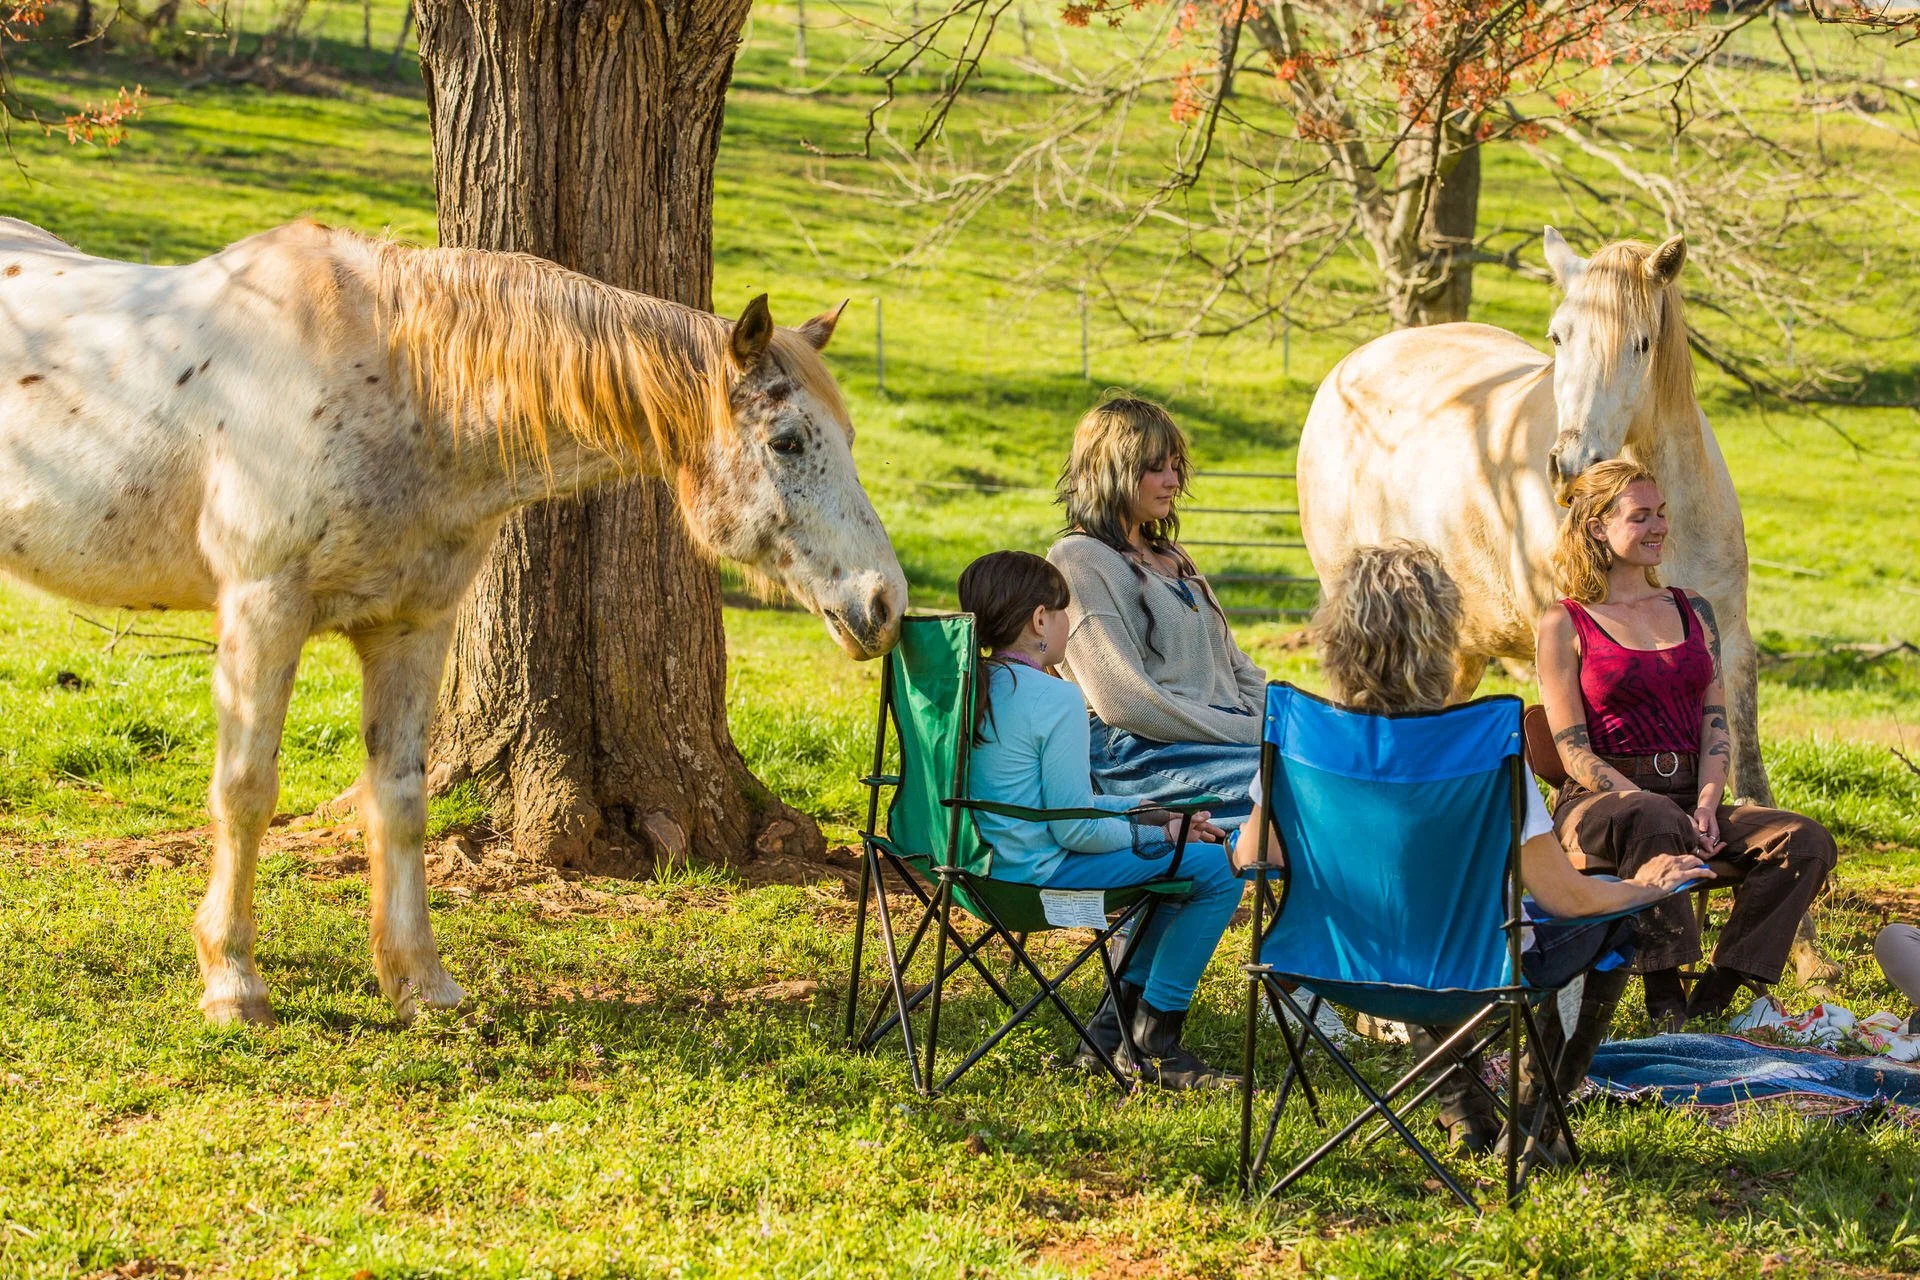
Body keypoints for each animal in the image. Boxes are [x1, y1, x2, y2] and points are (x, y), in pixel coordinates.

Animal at [0, 217, 907, 1026]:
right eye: (788, 441)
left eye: (851, 436)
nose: (885, 603)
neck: (399, 386)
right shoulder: (264, 609)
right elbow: (246, 793)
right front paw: (233, 984)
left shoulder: (415, 627)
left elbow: (399, 800)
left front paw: (419, 983)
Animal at [1296, 228, 1769, 807]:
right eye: (1558, 337)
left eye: (1641, 344)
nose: (1572, 465)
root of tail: (1347, 370)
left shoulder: (1729, 635)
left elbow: (1749, 771)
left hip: (1455, 645)